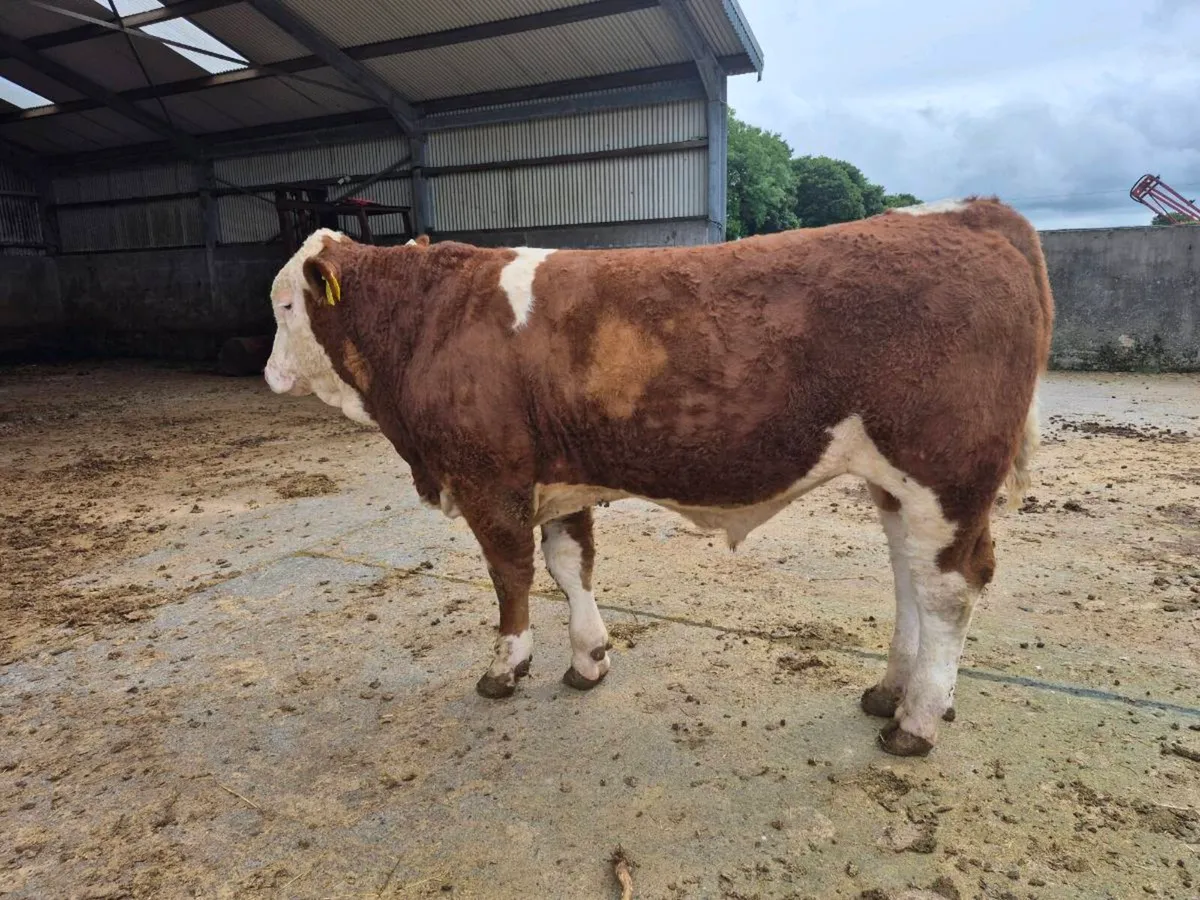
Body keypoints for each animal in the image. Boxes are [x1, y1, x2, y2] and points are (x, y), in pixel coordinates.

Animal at [263, 197, 1053, 757]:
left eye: (283, 303)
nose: (268, 374)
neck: (428, 321)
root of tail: (971, 210)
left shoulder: (490, 479)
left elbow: (511, 576)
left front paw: (506, 667)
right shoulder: (555, 478)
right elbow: (570, 564)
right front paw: (588, 660)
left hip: (944, 472)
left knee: (949, 587)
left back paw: (915, 723)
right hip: (898, 482)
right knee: (909, 578)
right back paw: (893, 691)